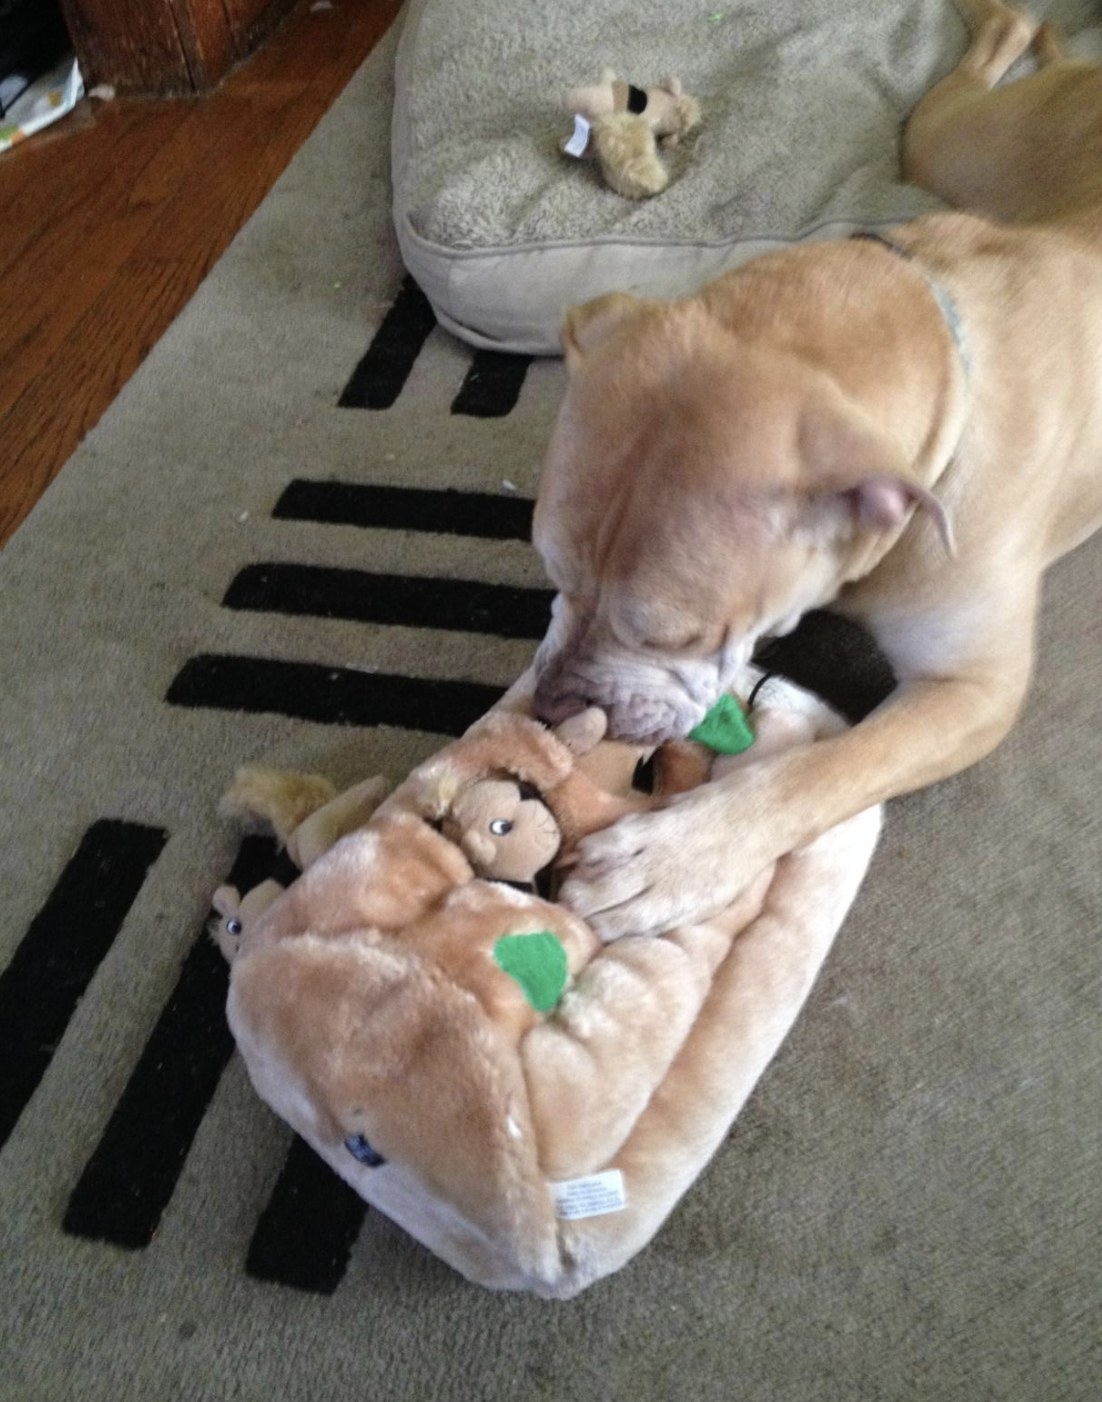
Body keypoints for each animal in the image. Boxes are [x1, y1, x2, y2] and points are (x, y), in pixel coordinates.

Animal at [524, 2, 1099, 942]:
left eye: (675, 636)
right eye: (553, 573)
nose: (555, 710)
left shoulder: (971, 692)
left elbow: (829, 768)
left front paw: (677, 857)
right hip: (957, 146)